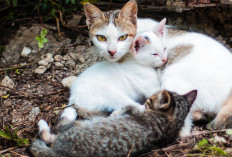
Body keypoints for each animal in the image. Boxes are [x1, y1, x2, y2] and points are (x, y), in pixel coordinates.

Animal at [29, 89, 198, 157]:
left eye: (150, 100)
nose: (145, 99)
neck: (171, 122)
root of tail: (60, 153)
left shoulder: (133, 110)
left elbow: (127, 107)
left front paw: (116, 112)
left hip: (75, 127)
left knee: (53, 131)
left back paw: (63, 115)